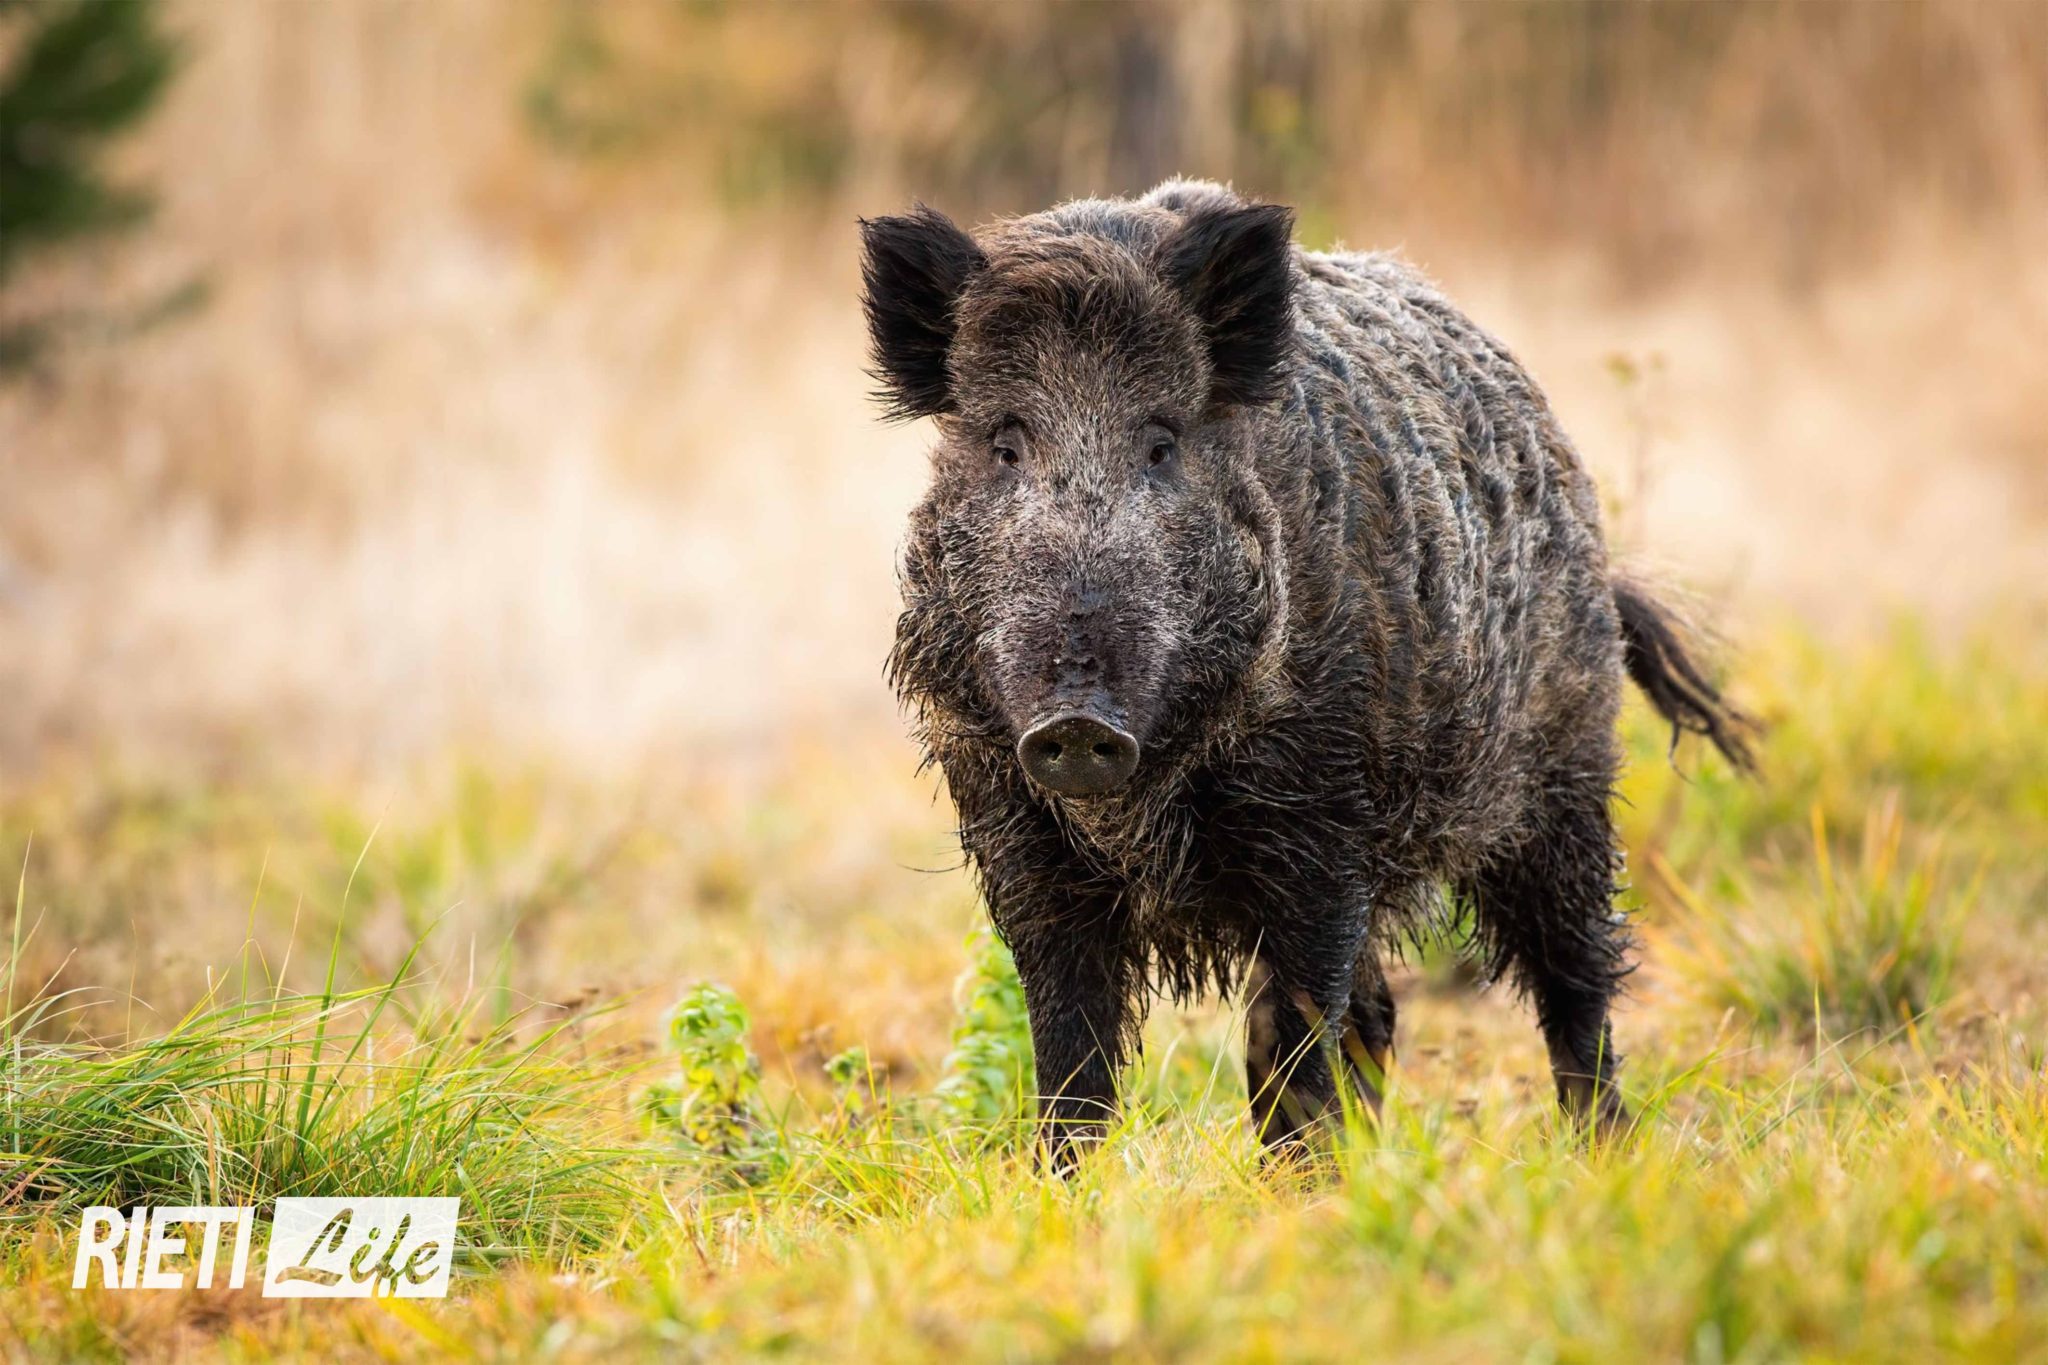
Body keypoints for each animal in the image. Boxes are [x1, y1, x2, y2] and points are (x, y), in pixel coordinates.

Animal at [865, 179, 1750, 1168]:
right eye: (1005, 445)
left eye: (1162, 443)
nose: (1077, 721)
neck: (1138, 807)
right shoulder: (1015, 829)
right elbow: (1068, 1040)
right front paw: (1069, 1180)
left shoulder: (1324, 822)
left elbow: (1294, 1023)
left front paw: (1298, 1181)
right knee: (1382, 1007)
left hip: (1565, 770)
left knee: (1574, 973)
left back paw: (1604, 1148)